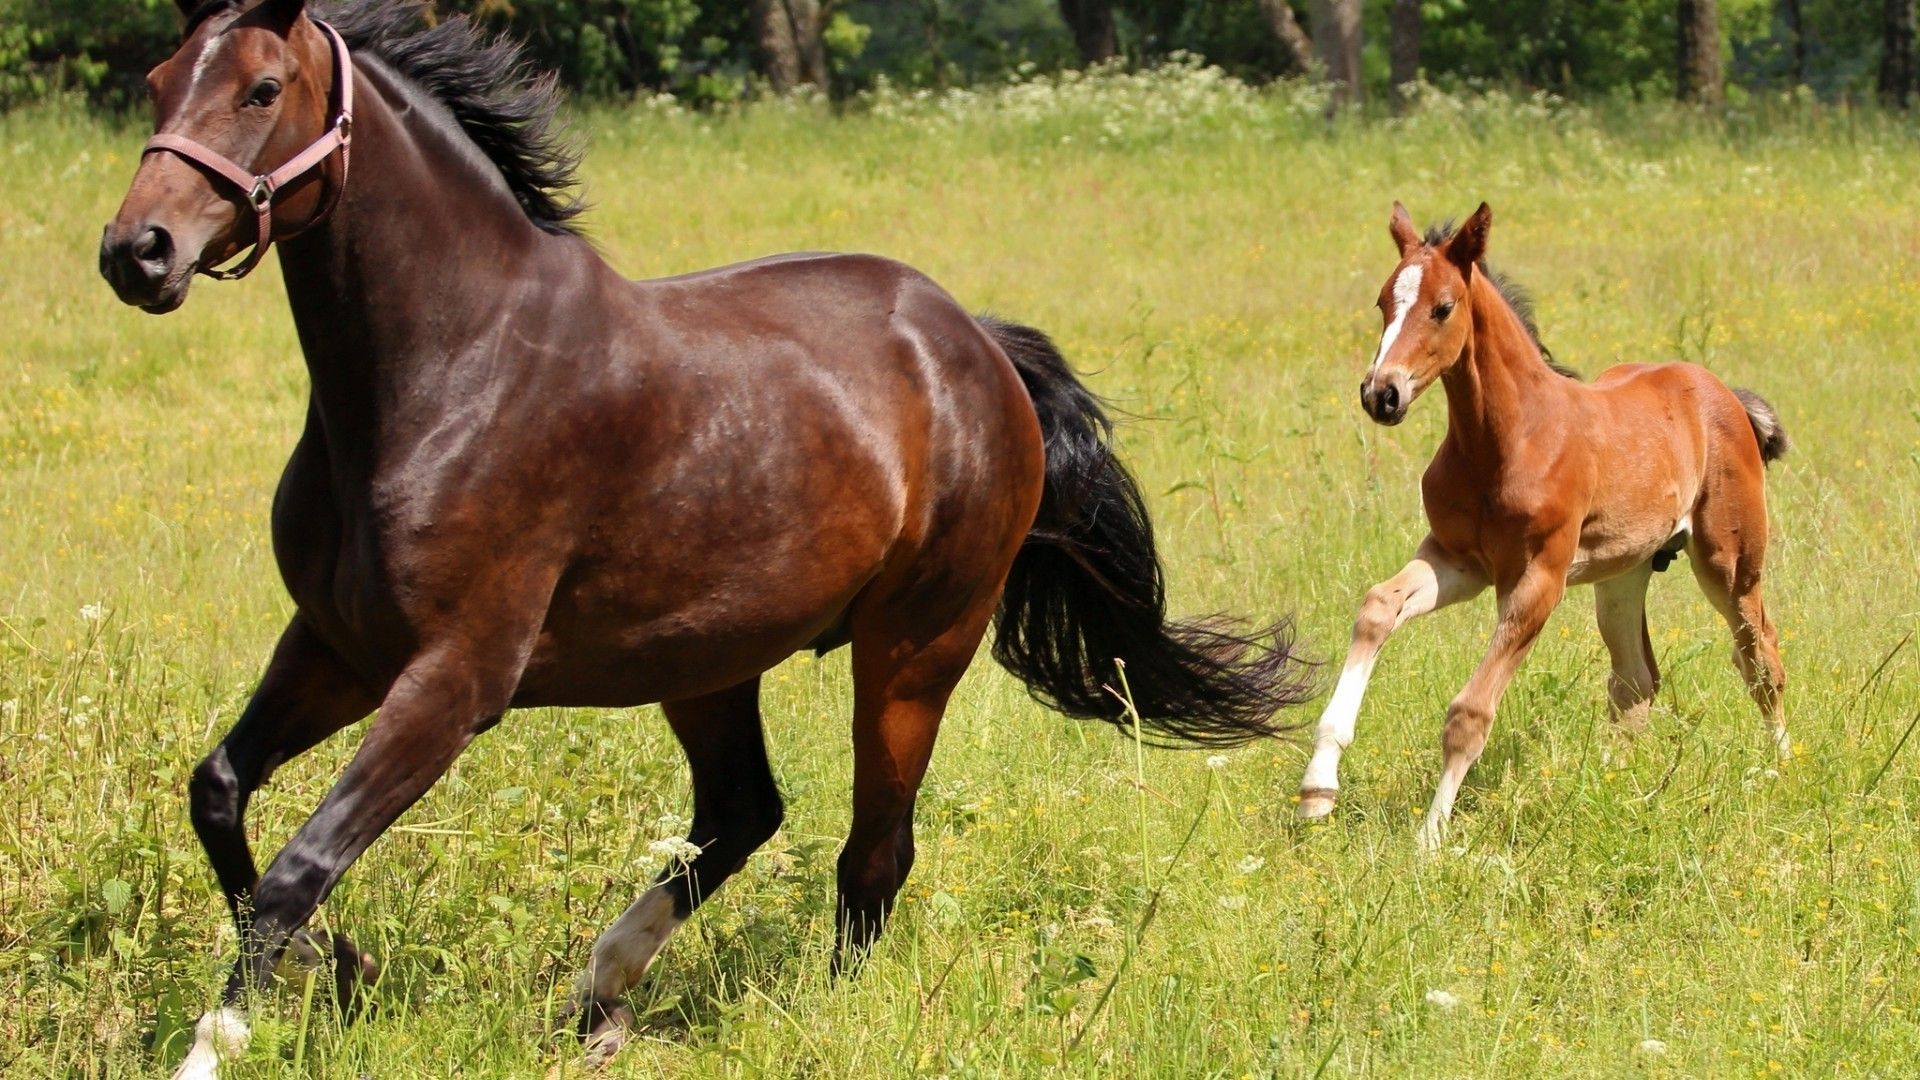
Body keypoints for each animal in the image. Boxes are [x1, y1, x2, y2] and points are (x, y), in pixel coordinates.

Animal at [97, 2, 1313, 1068]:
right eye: (158, 81)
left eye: (262, 89)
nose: (136, 251)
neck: (450, 368)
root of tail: (975, 343)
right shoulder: (337, 647)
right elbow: (220, 793)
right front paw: (337, 965)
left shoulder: (454, 681)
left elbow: (298, 864)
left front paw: (224, 1038)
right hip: (705, 660)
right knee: (743, 811)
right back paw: (599, 993)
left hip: (917, 646)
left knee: (874, 849)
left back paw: (813, 1017)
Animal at [1297, 199, 1789, 841]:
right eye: (1383, 302)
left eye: (1442, 307)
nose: (1381, 394)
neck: (1506, 440)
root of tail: (1722, 392)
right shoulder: (1458, 561)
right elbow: (1378, 606)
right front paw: (1317, 790)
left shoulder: (1538, 580)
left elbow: (1470, 713)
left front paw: (1430, 837)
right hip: (1623, 572)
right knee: (1636, 679)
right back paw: (1607, 786)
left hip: (1729, 563)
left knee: (1761, 657)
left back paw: (1780, 769)